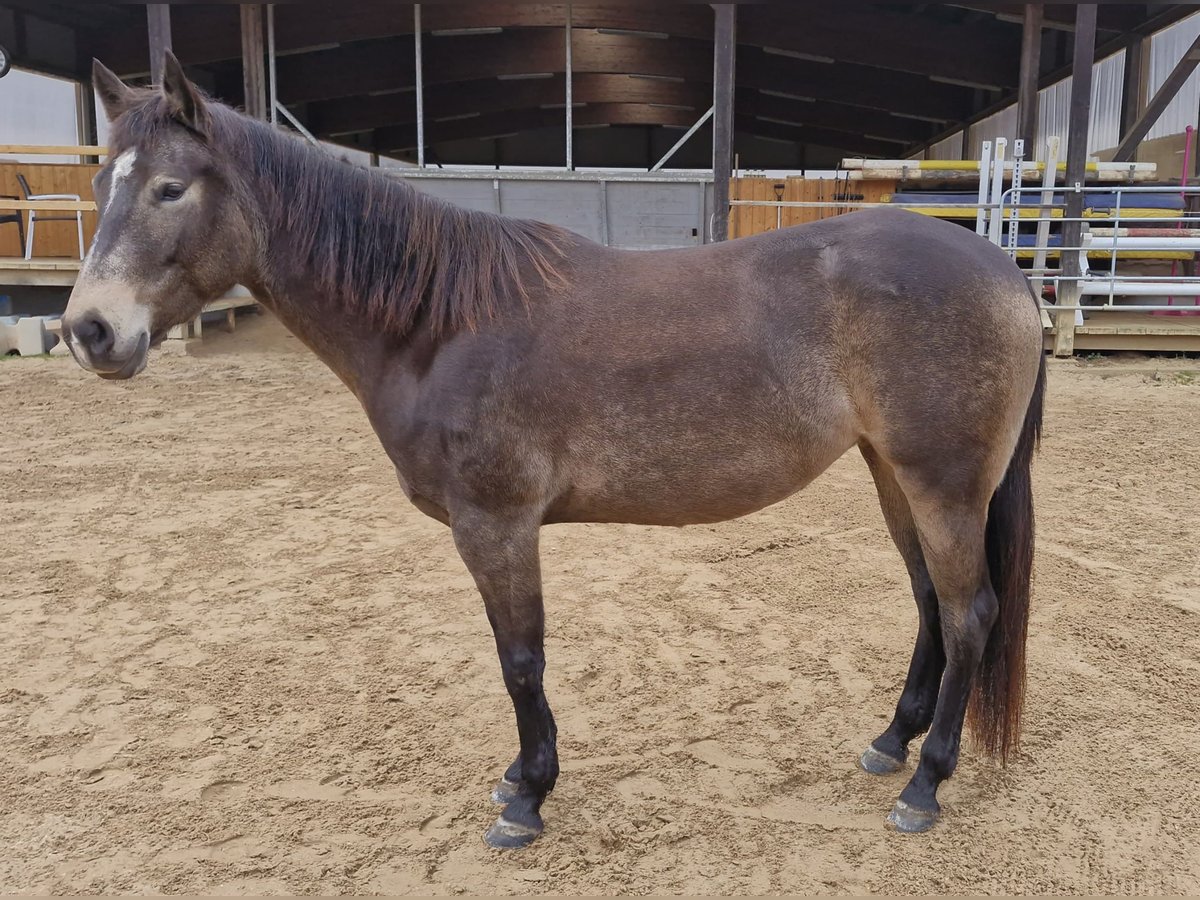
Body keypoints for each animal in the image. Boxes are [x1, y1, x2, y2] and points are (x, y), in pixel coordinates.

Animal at [63, 53, 1045, 849]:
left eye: (170, 189)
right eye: (103, 185)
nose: (89, 331)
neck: (440, 324)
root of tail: (1003, 269)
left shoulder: (495, 524)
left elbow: (520, 659)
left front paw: (527, 798)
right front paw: (521, 780)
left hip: (943, 484)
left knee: (969, 614)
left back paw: (925, 784)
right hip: (895, 475)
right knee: (930, 603)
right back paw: (891, 743)